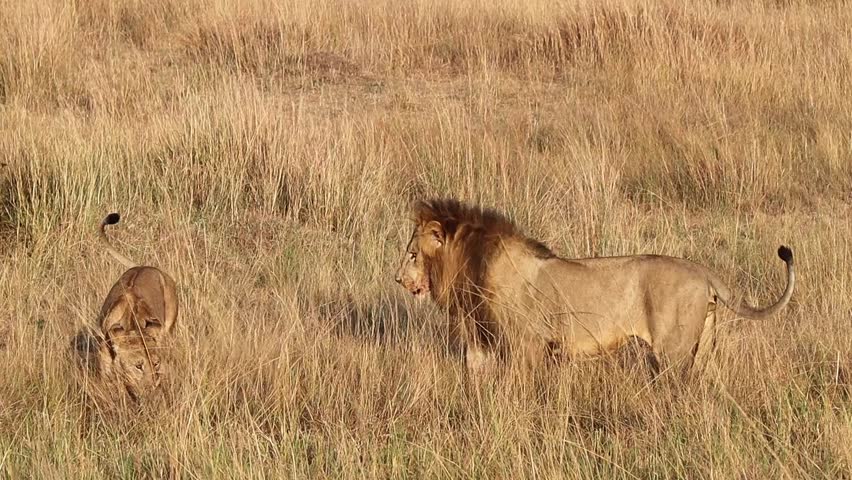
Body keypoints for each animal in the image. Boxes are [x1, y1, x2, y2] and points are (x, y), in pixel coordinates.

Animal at [395, 198, 795, 378]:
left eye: (412, 254)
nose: (398, 279)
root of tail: (702, 270)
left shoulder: (525, 344)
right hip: (703, 348)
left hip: (673, 350)